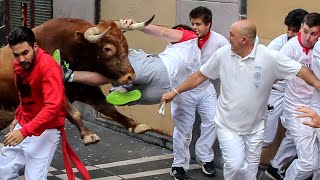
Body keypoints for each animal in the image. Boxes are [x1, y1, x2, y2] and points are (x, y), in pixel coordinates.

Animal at [0, 16, 155, 146]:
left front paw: (135, 125)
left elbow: (108, 108)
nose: (130, 76)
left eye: (125, 44)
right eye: (108, 49)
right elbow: (74, 112)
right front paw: (88, 134)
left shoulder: (85, 89)